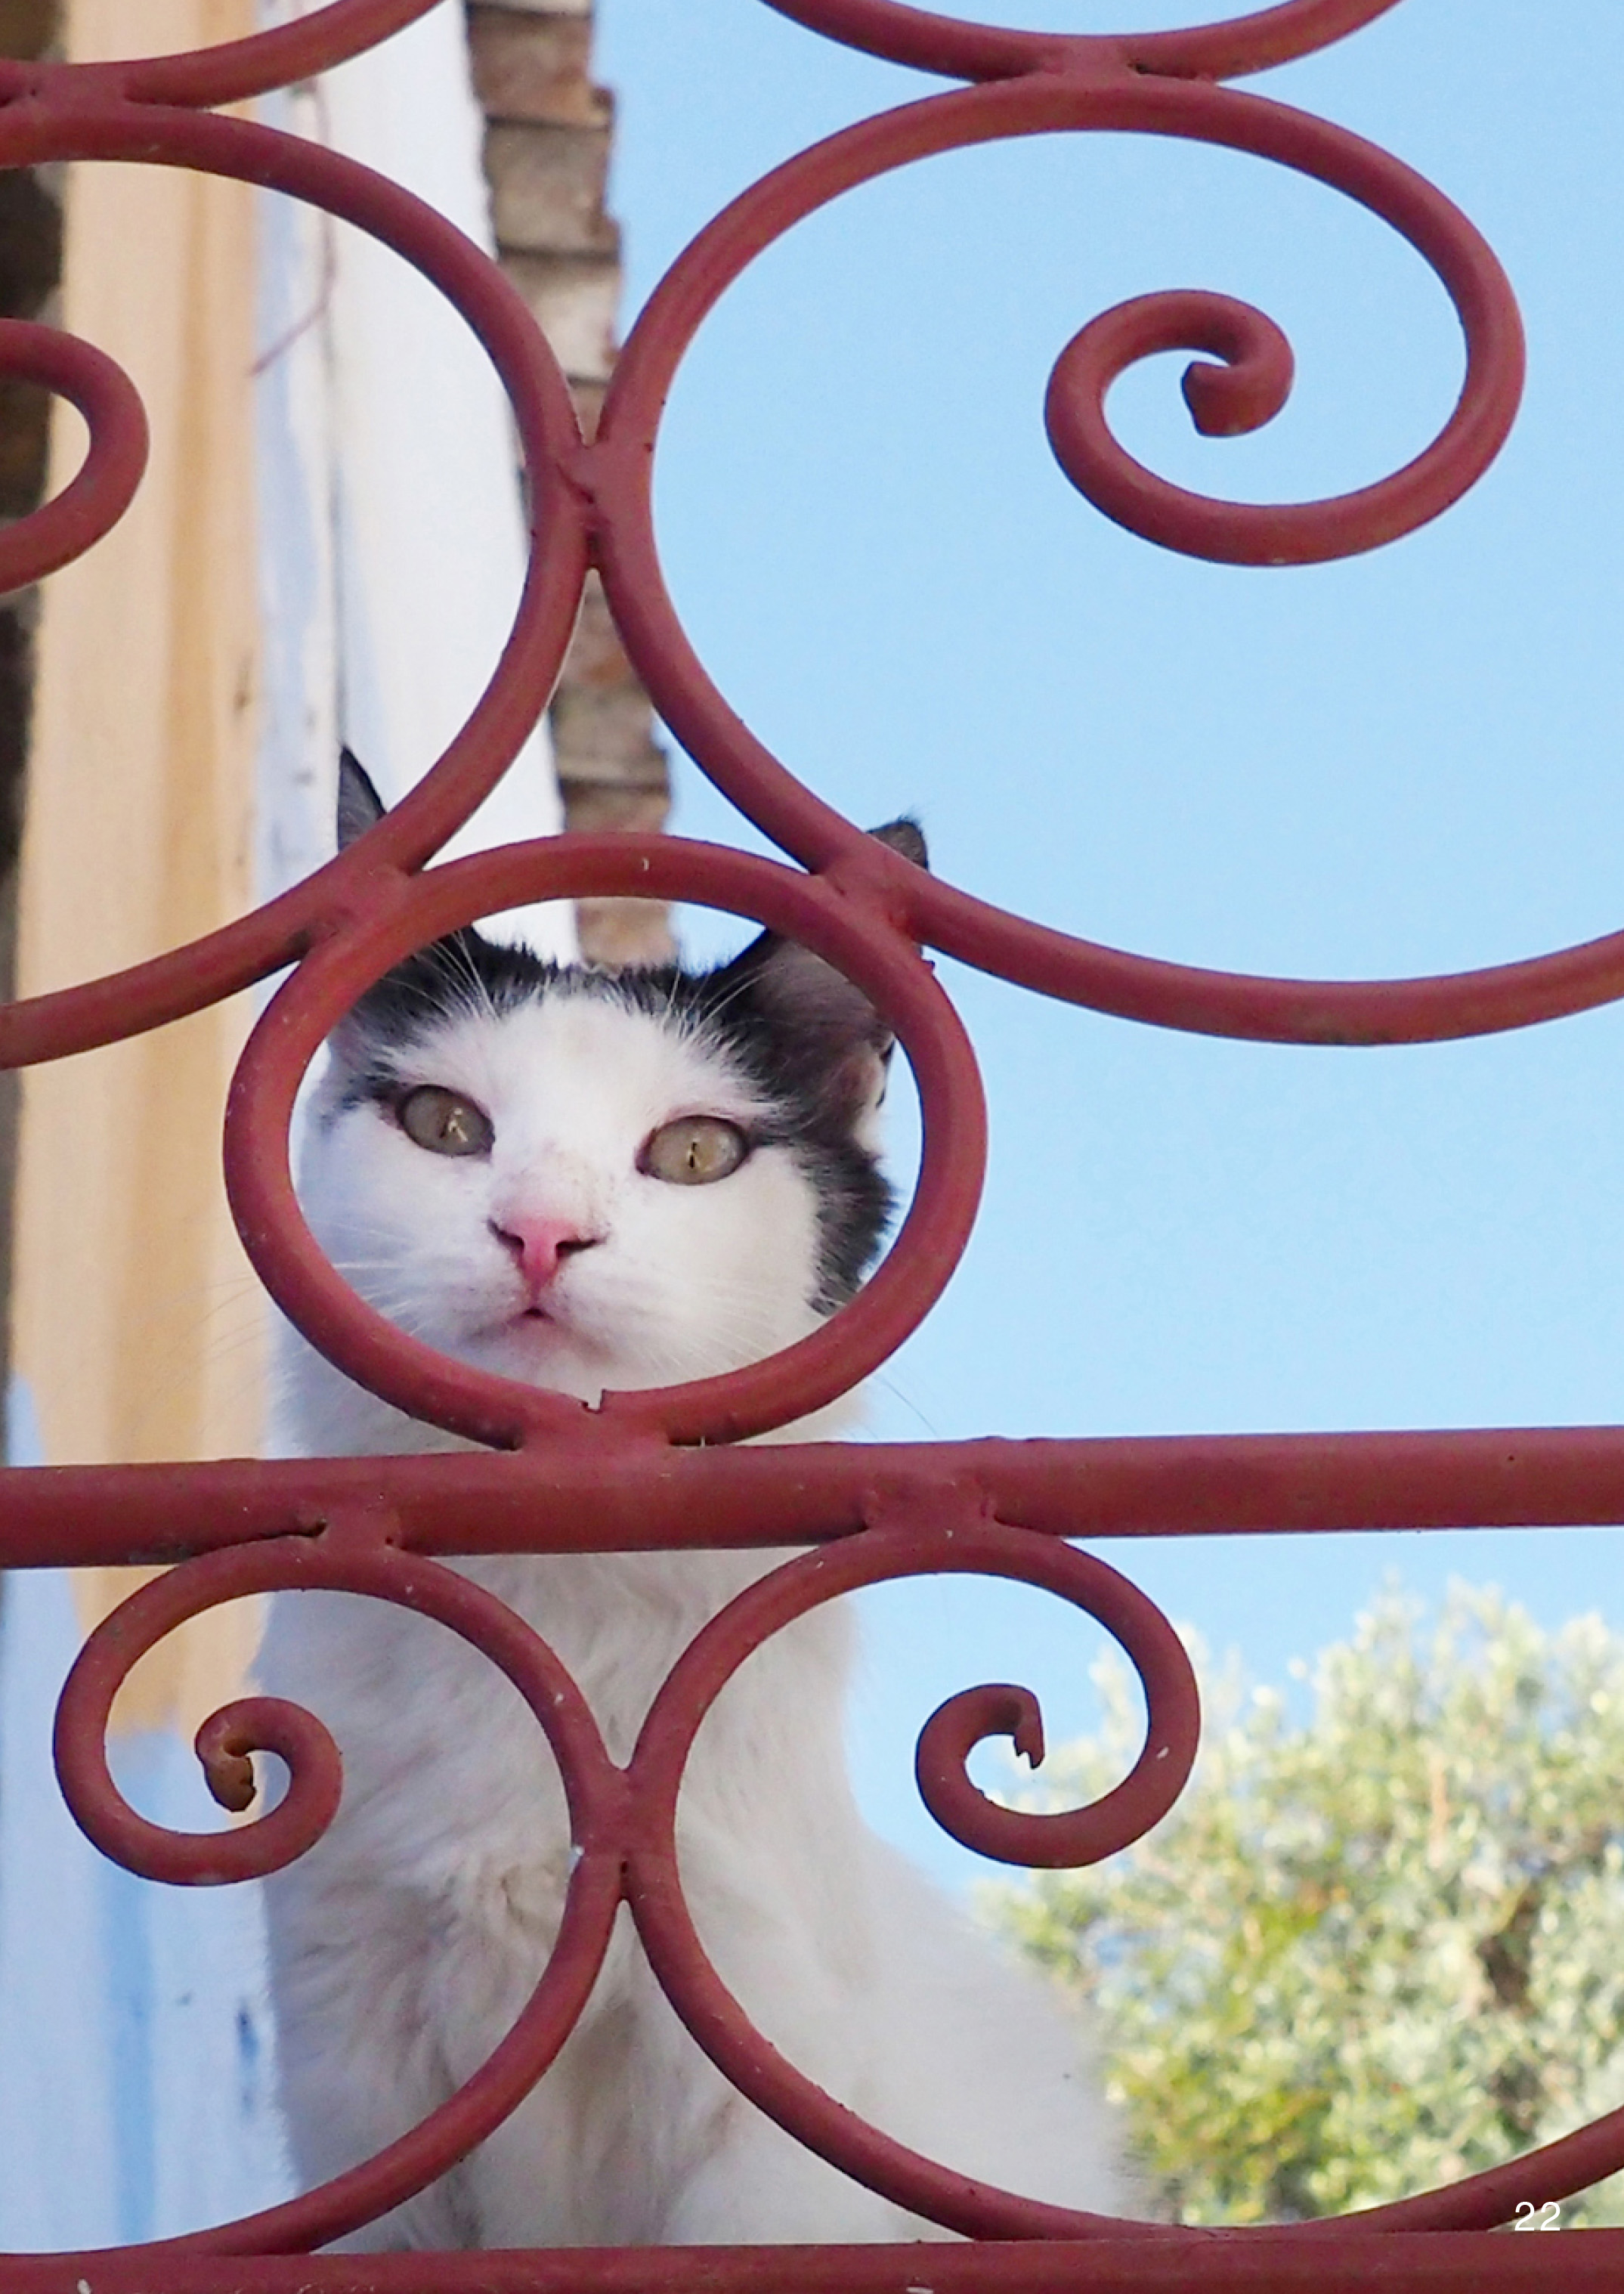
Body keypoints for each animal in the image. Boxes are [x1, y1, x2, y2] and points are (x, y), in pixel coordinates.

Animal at [264, 752, 1128, 2239]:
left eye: (690, 1156)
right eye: (445, 1126)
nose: (541, 1233)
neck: (551, 1616)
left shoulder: (765, 2071)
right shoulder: (353, 2070)